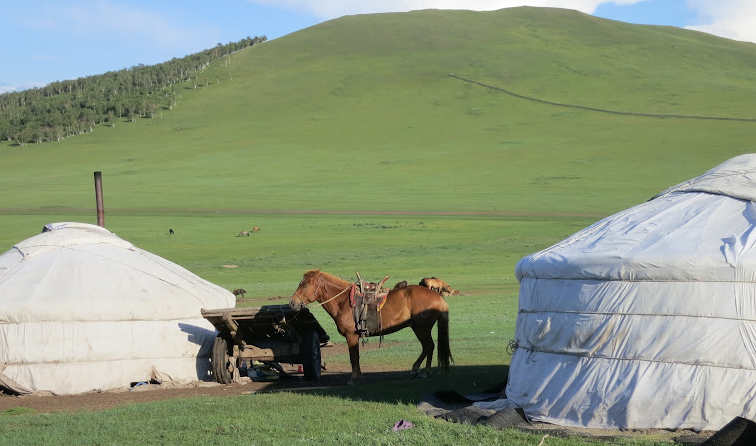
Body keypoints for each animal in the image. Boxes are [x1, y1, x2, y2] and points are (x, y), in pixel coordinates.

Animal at [290, 268, 452, 384]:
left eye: (306, 285)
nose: (293, 303)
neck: (343, 301)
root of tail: (438, 297)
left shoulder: (351, 336)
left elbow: (354, 357)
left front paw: (353, 379)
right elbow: (356, 357)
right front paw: (359, 376)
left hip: (421, 328)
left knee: (428, 346)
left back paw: (420, 370)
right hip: (420, 328)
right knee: (429, 347)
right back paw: (424, 371)